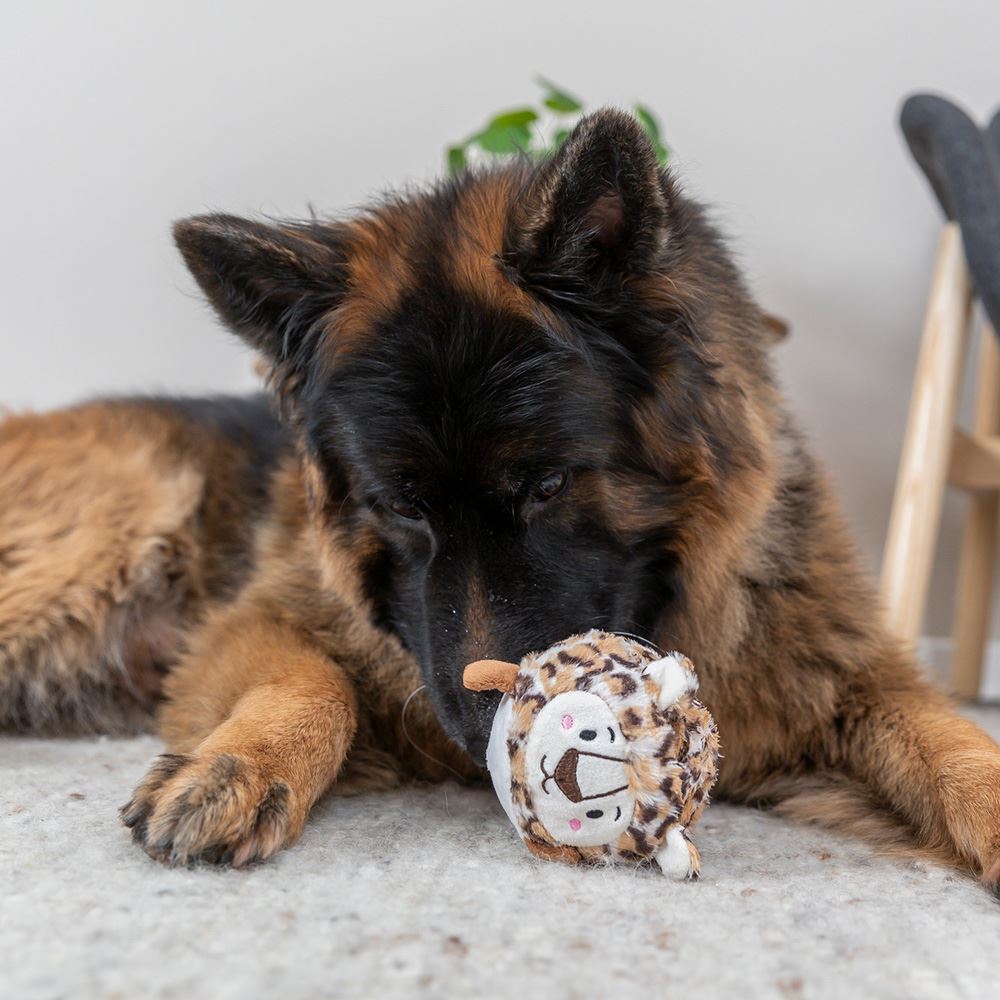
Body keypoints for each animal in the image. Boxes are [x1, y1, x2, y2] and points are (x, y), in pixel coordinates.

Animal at [1, 113, 1000, 888]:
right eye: (399, 504)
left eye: (548, 485)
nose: (497, 728)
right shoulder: (258, 620)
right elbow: (315, 681)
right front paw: (237, 764)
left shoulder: (837, 675)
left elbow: (948, 738)